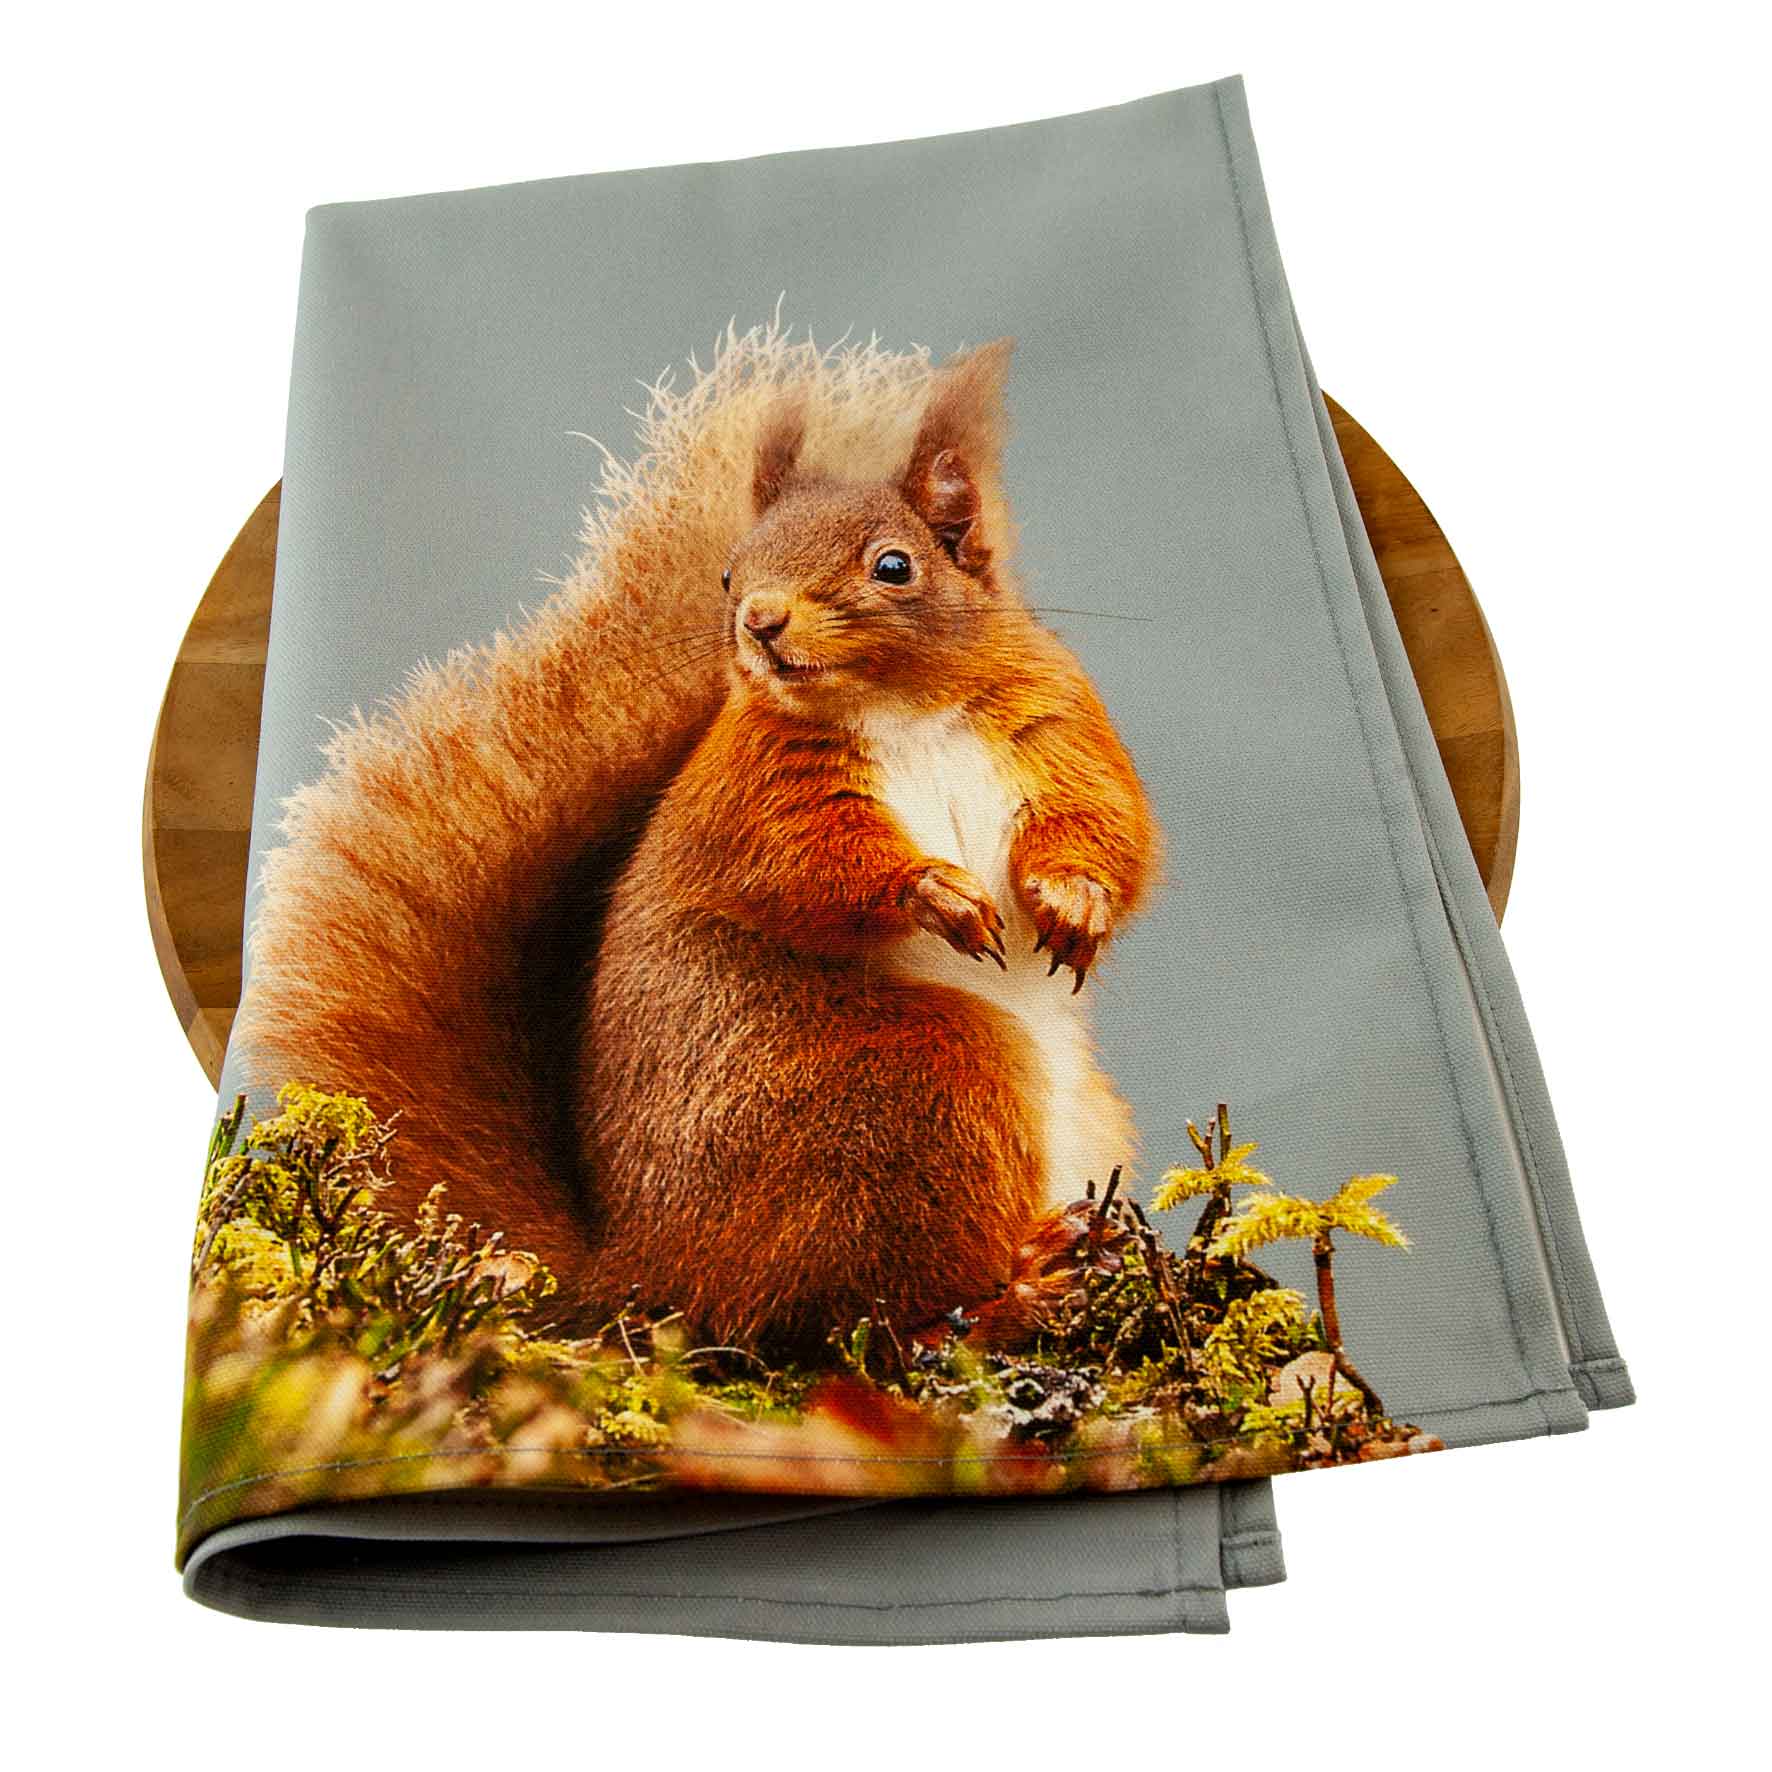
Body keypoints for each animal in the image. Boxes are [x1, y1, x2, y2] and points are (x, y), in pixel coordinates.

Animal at [239, 323, 1160, 1351]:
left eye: (894, 565)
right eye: (728, 571)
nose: (759, 621)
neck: (901, 706)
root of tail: (648, 1270)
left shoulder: (1058, 726)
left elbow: (1104, 822)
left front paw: (1075, 901)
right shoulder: (757, 792)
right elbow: (811, 862)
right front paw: (933, 889)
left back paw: (1074, 1250)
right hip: (919, 1090)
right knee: (871, 1316)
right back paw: (1020, 1291)